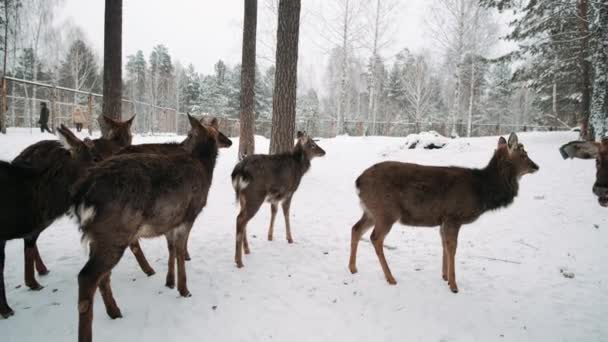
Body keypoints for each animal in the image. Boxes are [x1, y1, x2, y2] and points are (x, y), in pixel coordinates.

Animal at [0, 117, 133, 318]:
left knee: (31, 240)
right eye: (95, 157)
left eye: (129, 136)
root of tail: (22, 155)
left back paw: (38, 275)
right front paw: (6, 309)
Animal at [232, 131, 326, 268]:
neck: (299, 168)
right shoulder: (289, 192)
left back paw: (247, 250)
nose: (324, 152)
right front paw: (290, 238)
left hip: (243, 198)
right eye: (313, 144)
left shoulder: (275, 197)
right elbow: (286, 213)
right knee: (240, 219)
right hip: (255, 196)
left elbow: (274, 212)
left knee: (243, 220)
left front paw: (270, 236)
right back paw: (239, 261)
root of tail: (240, 170)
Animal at [350, 132, 540, 292]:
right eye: (523, 154)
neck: (482, 192)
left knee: (356, 228)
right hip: (386, 211)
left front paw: (444, 276)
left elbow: (444, 245)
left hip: (370, 211)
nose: (536, 166)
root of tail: (358, 182)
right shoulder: (453, 216)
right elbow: (452, 248)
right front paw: (454, 285)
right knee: (375, 238)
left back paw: (353, 268)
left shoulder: (443, 219)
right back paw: (390, 277)